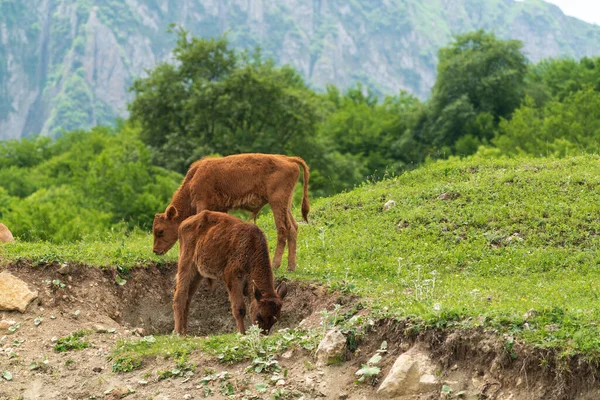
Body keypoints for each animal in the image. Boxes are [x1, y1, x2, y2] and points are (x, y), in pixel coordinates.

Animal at [152, 153, 310, 272]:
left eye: (160, 231)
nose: (155, 251)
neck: (194, 177)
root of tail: (288, 159)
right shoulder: (221, 208)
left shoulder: (202, 204)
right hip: (286, 205)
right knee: (293, 228)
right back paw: (290, 267)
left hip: (276, 202)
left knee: (283, 229)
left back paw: (275, 265)